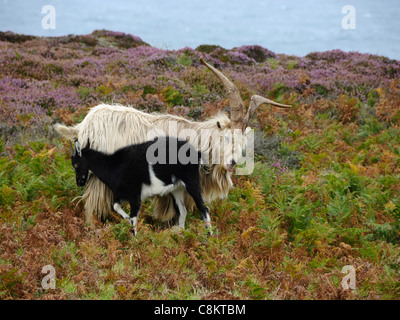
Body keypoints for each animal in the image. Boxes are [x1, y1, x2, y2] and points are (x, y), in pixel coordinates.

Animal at [70, 137, 212, 235]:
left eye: (76, 164)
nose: (79, 182)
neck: (113, 165)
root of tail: (197, 153)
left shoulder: (135, 195)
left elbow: (134, 218)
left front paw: (135, 240)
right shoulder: (125, 194)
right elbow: (115, 206)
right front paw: (126, 218)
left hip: (191, 182)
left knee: (203, 208)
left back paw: (209, 236)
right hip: (176, 189)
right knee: (182, 211)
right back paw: (180, 235)